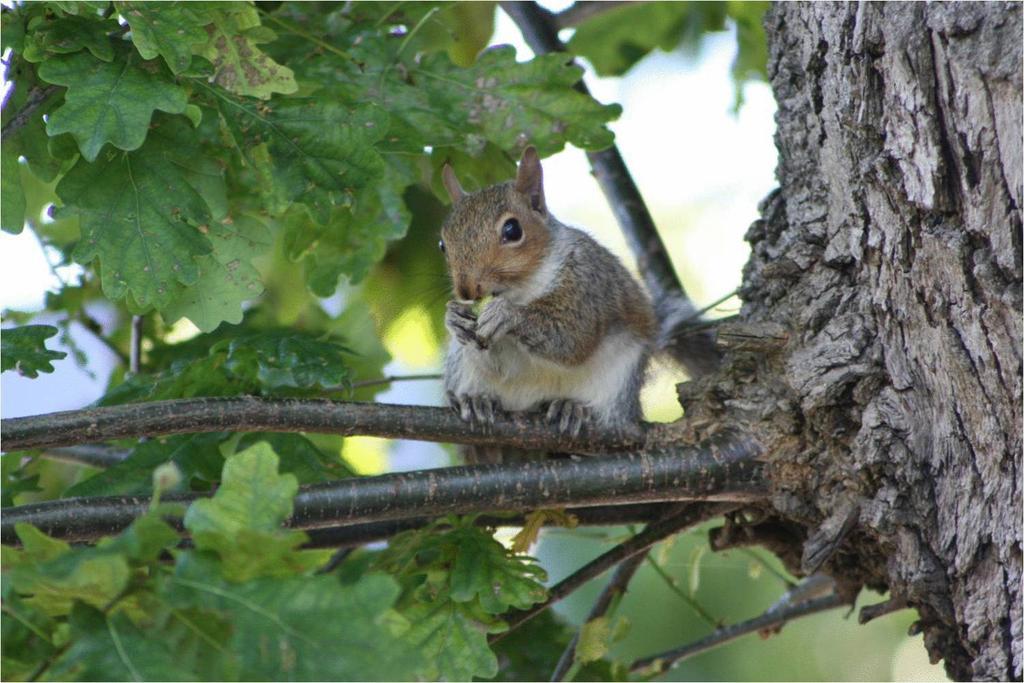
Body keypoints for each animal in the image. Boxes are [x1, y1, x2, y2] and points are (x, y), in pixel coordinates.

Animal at [436, 146, 659, 462]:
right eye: (443, 244)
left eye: (513, 230)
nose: (467, 290)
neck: (522, 290)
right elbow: (495, 361)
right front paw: (454, 319)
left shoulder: (587, 283)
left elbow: (573, 337)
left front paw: (508, 315)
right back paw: (478, 404)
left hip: (619, 384)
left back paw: (571, 409)